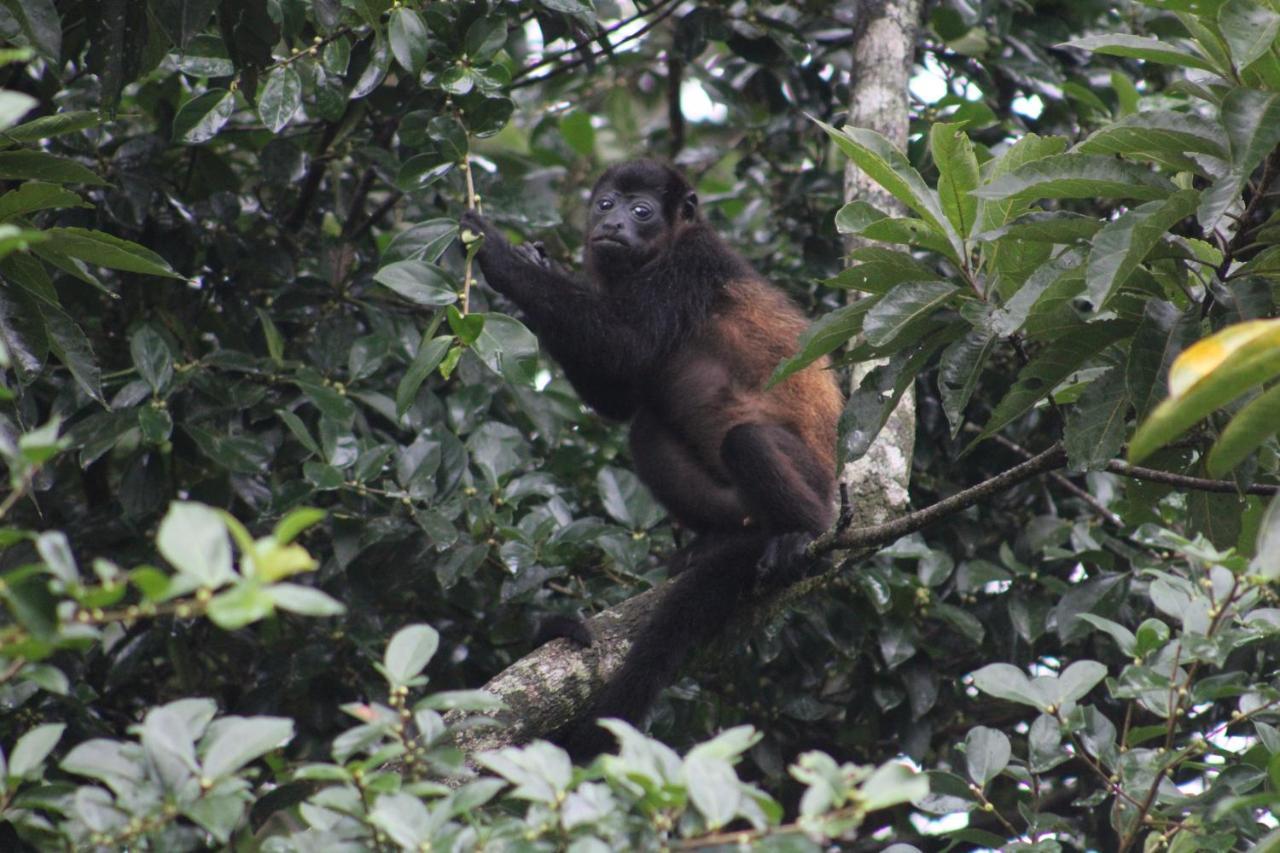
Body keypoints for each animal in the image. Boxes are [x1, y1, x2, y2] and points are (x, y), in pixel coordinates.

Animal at [458, 157, 839, 753]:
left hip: (815, 480)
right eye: (605, 204)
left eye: (642, 211)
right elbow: (620, 399)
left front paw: (500, 254)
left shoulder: (691, 264)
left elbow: (626, 344)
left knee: (746, 442)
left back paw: (800, 534)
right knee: (646, 429)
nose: (612, 224)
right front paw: (534, 258)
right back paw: (718, 542)